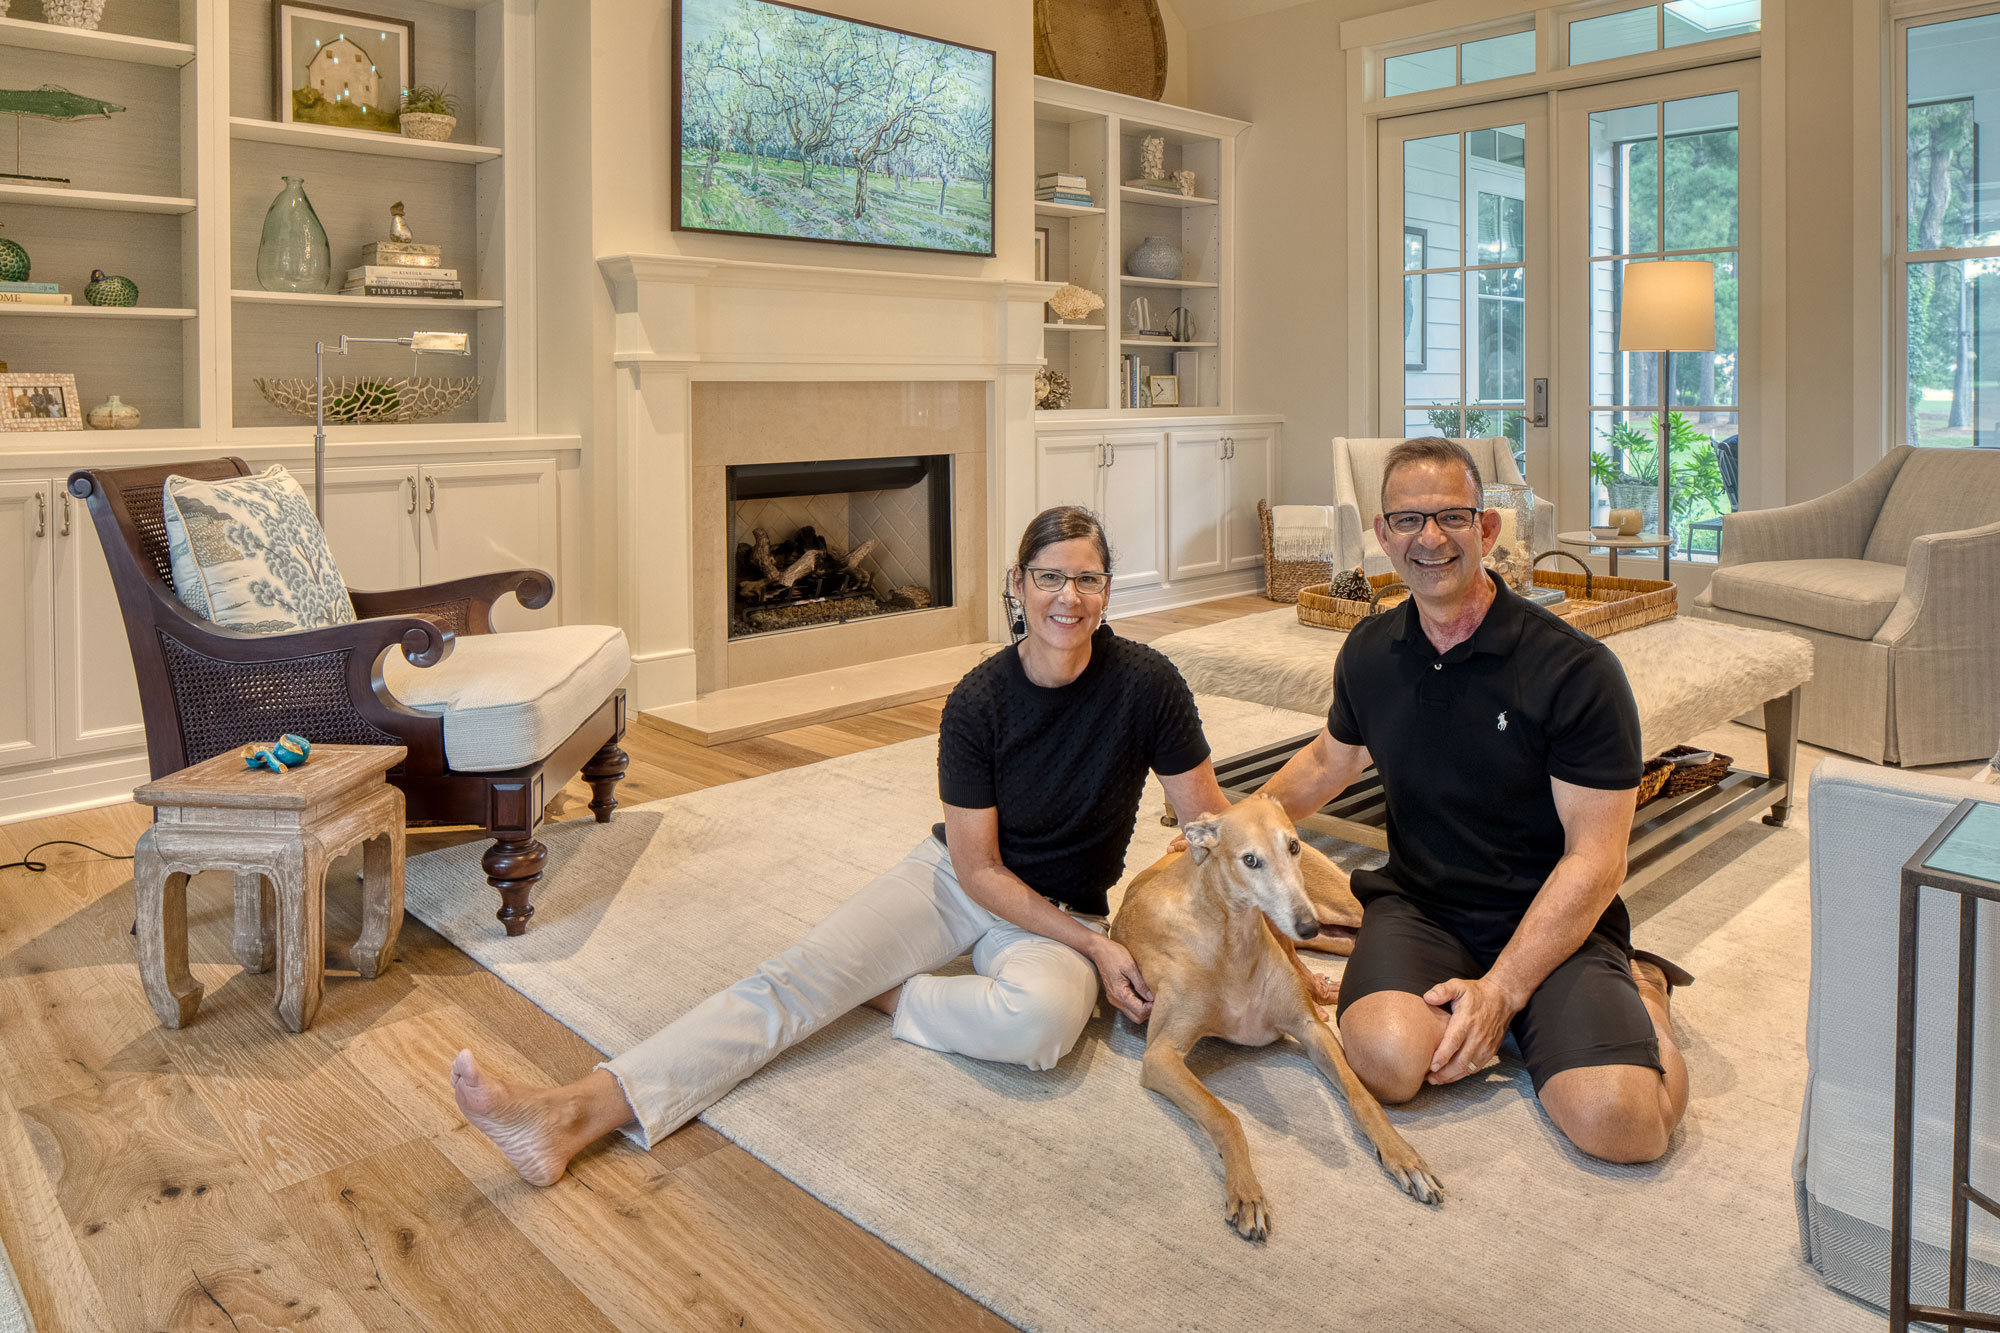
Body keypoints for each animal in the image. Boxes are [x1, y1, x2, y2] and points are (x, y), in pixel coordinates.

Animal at [1112, 794, 1443, 1239]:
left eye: (1292, 845)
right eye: (1250, 860)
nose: (1306, 924)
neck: (1232, 940)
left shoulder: (1311, 1031)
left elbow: (1364, 1097)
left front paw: (1404, 1156)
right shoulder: (1160, 1055)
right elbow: (1225, 1116)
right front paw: (1246, 1194)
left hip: (1336, 910)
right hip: (1327, 931)